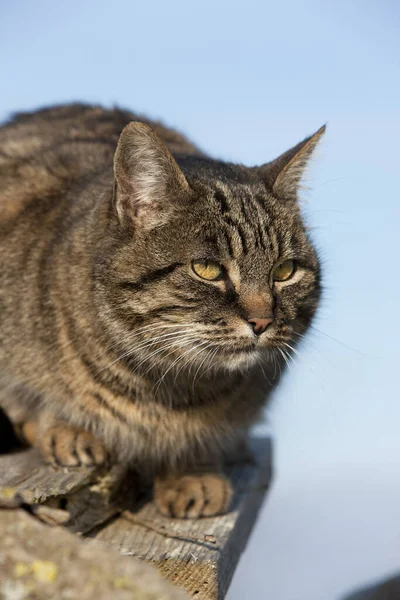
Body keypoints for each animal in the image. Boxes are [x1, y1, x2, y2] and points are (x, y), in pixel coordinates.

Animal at [0, 103, 324, 516]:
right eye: (207, 269)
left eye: (284, 271)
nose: (262, 321)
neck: (172, 389)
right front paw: (67, 429)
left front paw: (193, 471)